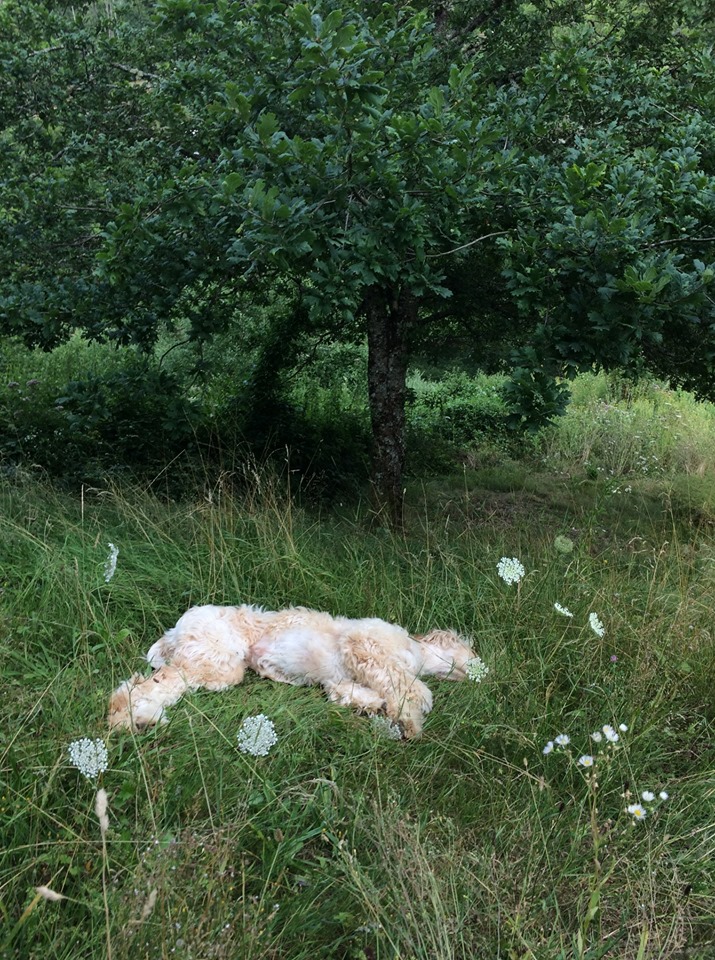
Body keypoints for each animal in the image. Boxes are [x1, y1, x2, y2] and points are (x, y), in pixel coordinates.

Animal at [108, 604, 475, 739]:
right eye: (471, 652)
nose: (482, 673)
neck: (417, 650)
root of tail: (173, 630)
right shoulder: (364, 644)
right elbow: (412, 688)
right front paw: (410, 720)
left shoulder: (339, 679)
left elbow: (352, 692)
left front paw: (374, 706)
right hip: (215, 660)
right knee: (147, 686)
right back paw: (128, 718)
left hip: (209, 668)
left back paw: (142, 719)